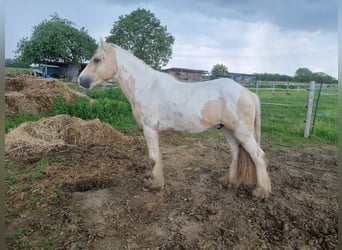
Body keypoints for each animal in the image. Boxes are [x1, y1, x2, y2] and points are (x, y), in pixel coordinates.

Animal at [79, 40, 272, 198]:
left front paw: (154, 184)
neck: (145, 86)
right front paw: (156, 181)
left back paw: (261, 191)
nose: (81, 80)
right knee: (236, 154)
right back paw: (229, 182)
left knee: (258, 155)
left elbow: (153, 157)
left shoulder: (149, 129)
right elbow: (156, 157)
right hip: (229, 130)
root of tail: (248, 93)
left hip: (242, 132)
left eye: (97, 59)